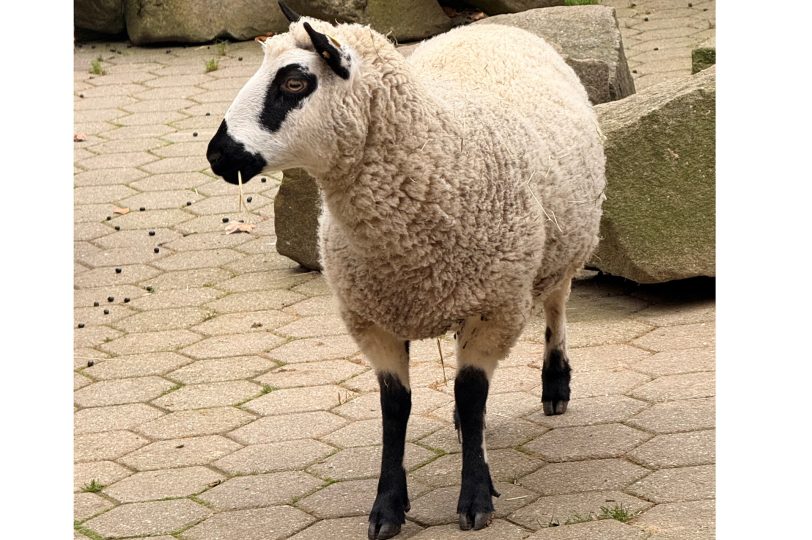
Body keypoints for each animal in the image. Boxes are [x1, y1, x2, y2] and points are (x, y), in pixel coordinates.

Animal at [206, 2, 606, 538]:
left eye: (294, 82)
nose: (217, 154)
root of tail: (500, 27)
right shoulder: (372, 319)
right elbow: (396, 408)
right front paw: (387, 508)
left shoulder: (494, 306)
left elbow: (472, 393)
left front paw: (475, 497)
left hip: (565, 244)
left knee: (557, 307)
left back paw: (555, 384)